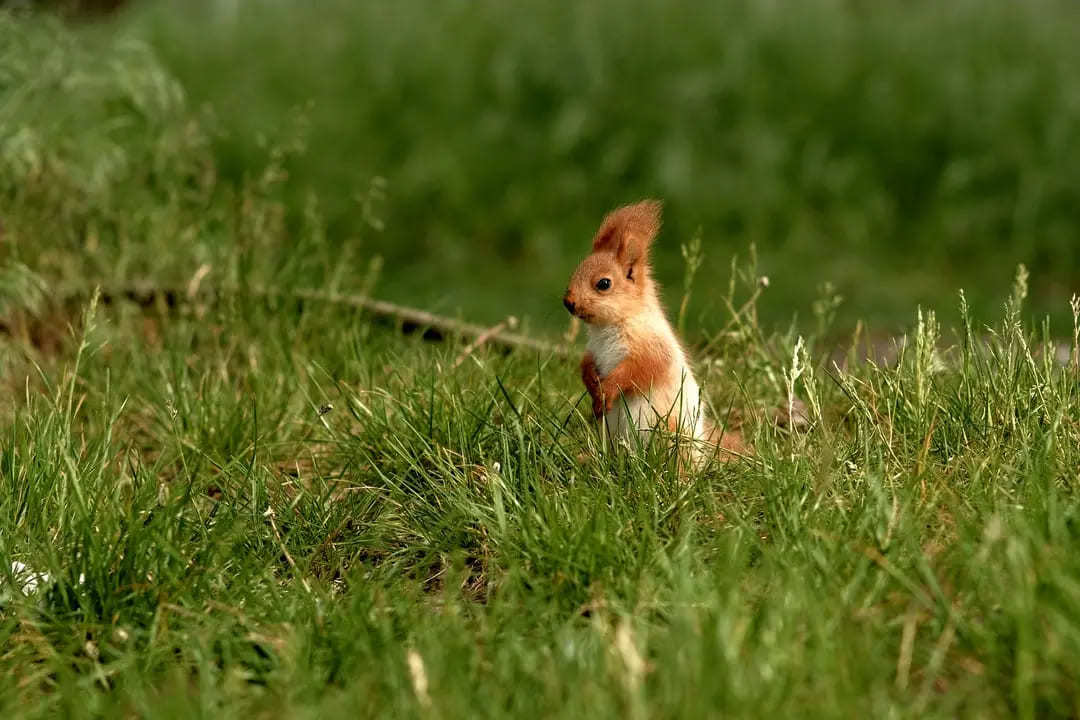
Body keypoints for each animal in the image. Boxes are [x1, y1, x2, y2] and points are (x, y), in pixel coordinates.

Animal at [561, 199, 747, 464]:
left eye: (603, 284)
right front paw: (592, 388)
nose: (568, 302)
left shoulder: (651, 348)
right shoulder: (593, 351)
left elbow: (636, 371)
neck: (607, 327)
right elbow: (586, 364)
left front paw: (606, 392)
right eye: (575, 271)